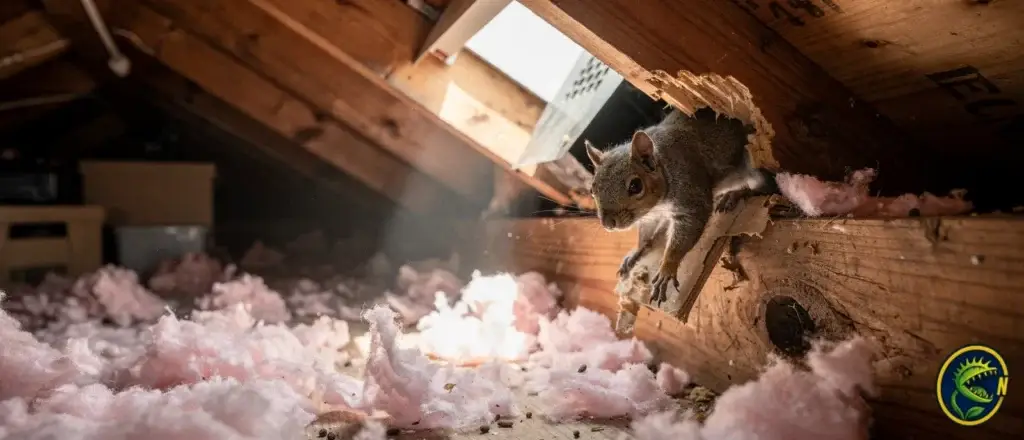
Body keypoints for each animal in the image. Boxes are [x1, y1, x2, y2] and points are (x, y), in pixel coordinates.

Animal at [584, 107, 778, 305]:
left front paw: (667, 269)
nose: (608, 224)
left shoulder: (689, 192)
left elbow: (687, 230)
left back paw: (734, 194)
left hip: (751, 167)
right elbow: (645, 235)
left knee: (764, 187)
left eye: (636, 186)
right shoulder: (650, 216)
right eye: (592, 189)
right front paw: (635, 254)